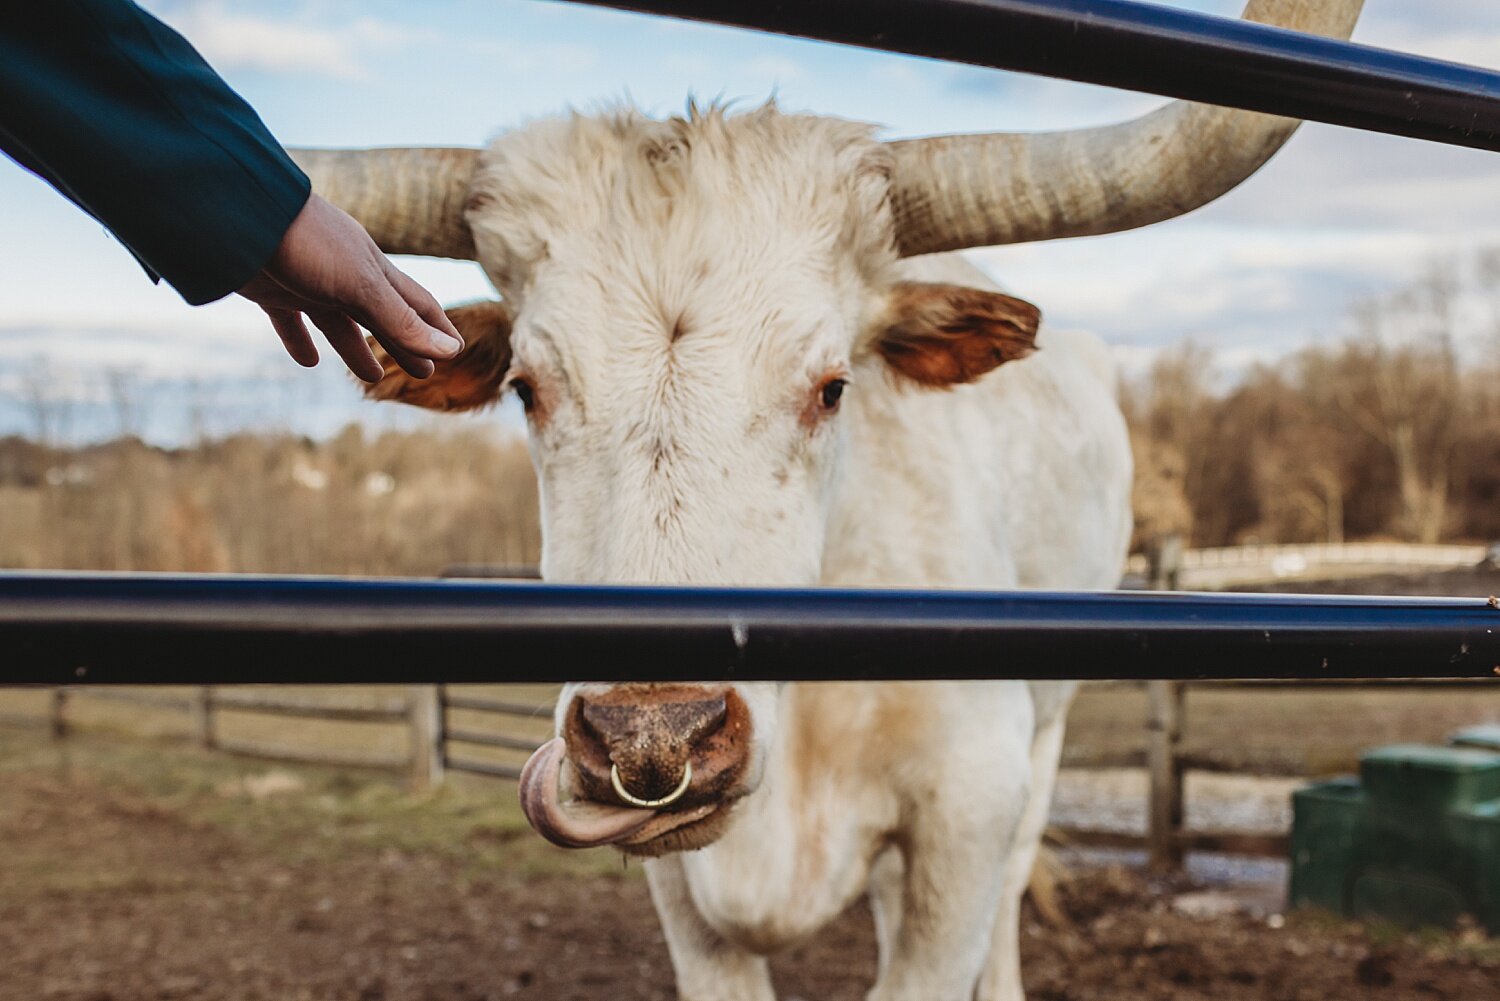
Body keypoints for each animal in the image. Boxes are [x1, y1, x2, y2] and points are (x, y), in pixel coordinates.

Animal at [286, 5, 1368, 996]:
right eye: (525, 387)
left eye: (833, 384)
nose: (654, 735)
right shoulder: (687, 896)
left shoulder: (969, 812)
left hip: (1044, 738)